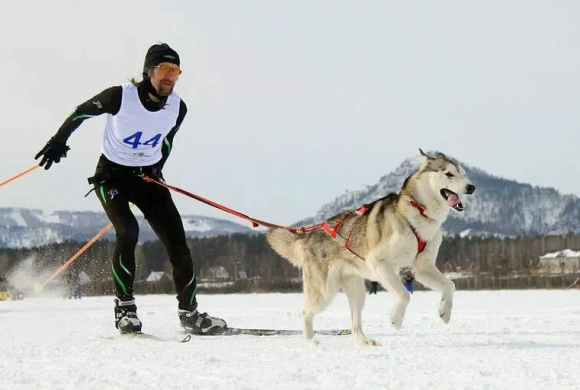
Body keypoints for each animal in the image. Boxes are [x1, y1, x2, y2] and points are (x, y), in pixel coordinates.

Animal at [268, 149, 476, 344]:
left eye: (464, 174)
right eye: (449, 174)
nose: (471, 187)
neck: (419, 213)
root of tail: (309, 235)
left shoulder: (423, 268)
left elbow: (450, 285)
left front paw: (445, 310)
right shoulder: (379, 263)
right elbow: (404, 295)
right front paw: (396, 318)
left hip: (358, 293)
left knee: (354, 325)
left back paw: (363, 341)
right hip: (324, 292)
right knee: (305, 312)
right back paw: (311, 342)